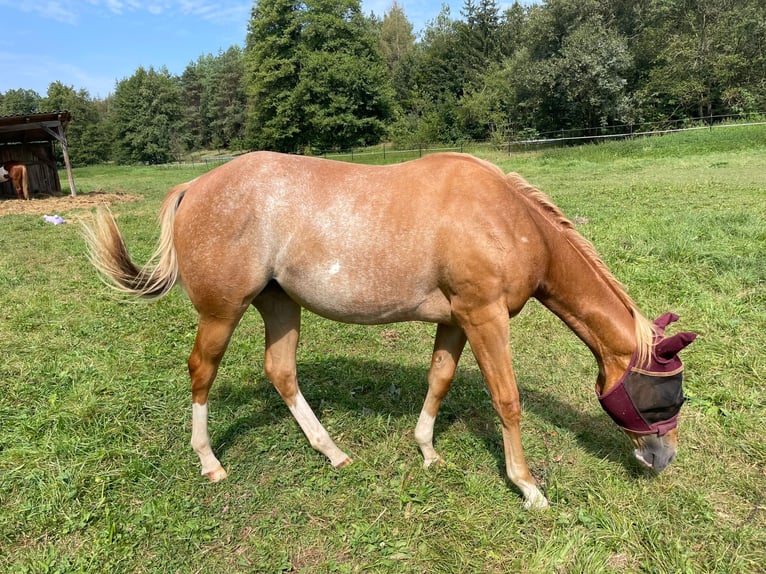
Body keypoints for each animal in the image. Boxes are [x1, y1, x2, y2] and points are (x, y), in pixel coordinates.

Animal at [82, 151, 696, 510]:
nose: (662, 460)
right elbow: (507, 399)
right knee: (201, 372)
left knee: (281, 372)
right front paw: (527, 486)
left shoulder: (456, 320)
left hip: (280, 305)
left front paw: (427, 451)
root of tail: (195, 185)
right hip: (221, 313)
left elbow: (439, 380)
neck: (507, 220)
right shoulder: (484, 316)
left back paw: (332, 452)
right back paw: (210, 461)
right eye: (668, 398)